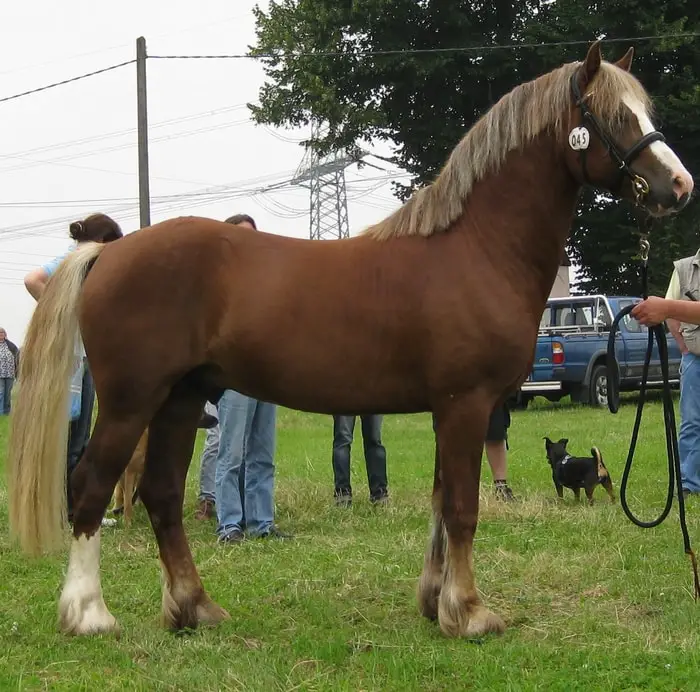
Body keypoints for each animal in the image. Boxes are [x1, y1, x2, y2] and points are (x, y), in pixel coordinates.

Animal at [6, 42, 696, 636]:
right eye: (612, 114)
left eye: (646, 110)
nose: (679, 186)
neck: (477, 250)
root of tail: (111, 250)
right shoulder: (467, 404)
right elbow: (463, 509)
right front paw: (470, 613)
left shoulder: (448, 409)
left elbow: (442, 507)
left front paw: (436, 602)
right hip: (131, 402)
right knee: (91, 486)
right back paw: (89, 614)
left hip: (179, 401)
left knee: (162, 495)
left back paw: (194, 608)